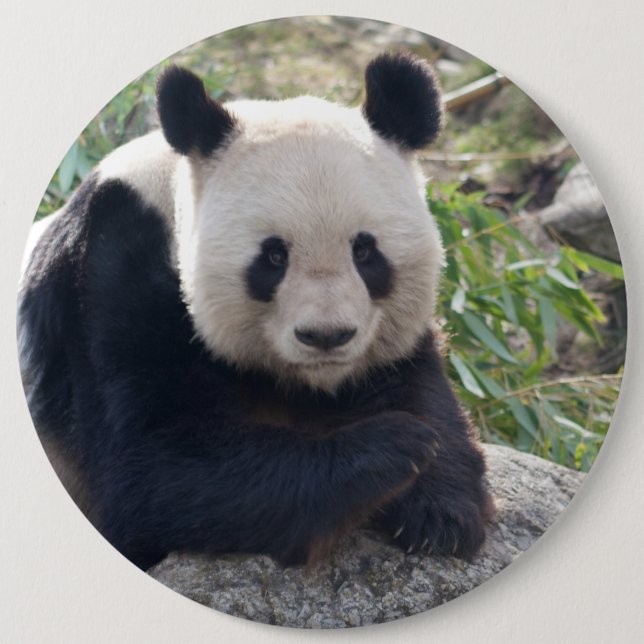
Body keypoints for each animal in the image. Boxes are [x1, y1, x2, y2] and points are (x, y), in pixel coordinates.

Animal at [18, 52, 494, 571]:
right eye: (273, 256)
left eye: (365, 251)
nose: (326, 336)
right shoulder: (108, 279)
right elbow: (154, 468)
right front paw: (397, 445)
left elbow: (412, 380)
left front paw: (441, 513)